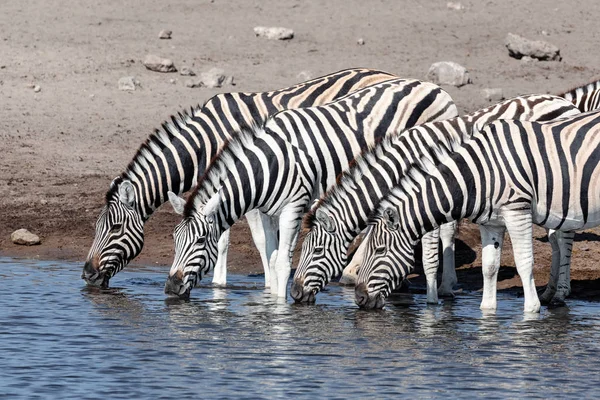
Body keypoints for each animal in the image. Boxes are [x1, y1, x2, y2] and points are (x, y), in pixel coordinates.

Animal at [81, 66, 398, 288]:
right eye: (96, 228)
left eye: (115, 228)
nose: (87, 275)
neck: (205, 141)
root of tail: (385, 74)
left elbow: (243, 240)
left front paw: (229, 285)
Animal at [163, 78, 454, 298]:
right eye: (175, 240)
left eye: (200, 241)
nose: (170, 288)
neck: (268, 165)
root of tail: (433, 86)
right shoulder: (268, 210)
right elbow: (272, 256)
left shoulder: (294, 207)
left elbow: (282, 261)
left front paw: (280, 310)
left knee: (446, 227)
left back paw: (445, 286)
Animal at [292, 94, 580, 304]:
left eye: (316, 251)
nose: (294, 294)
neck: (401, 165)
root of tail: (565, 103)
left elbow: (430, 247)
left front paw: (434, 295)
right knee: (557, 236)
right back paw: (550, 291)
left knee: (564, 236)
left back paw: (560, 292)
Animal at [354, 109, 600, 312]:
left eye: (380, 250)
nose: (359, 298)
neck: (480, 174)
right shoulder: (490, 222)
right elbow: (489, 267)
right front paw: (487, 312)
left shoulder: (517, 210)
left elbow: (524, 262)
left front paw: (531, 310)